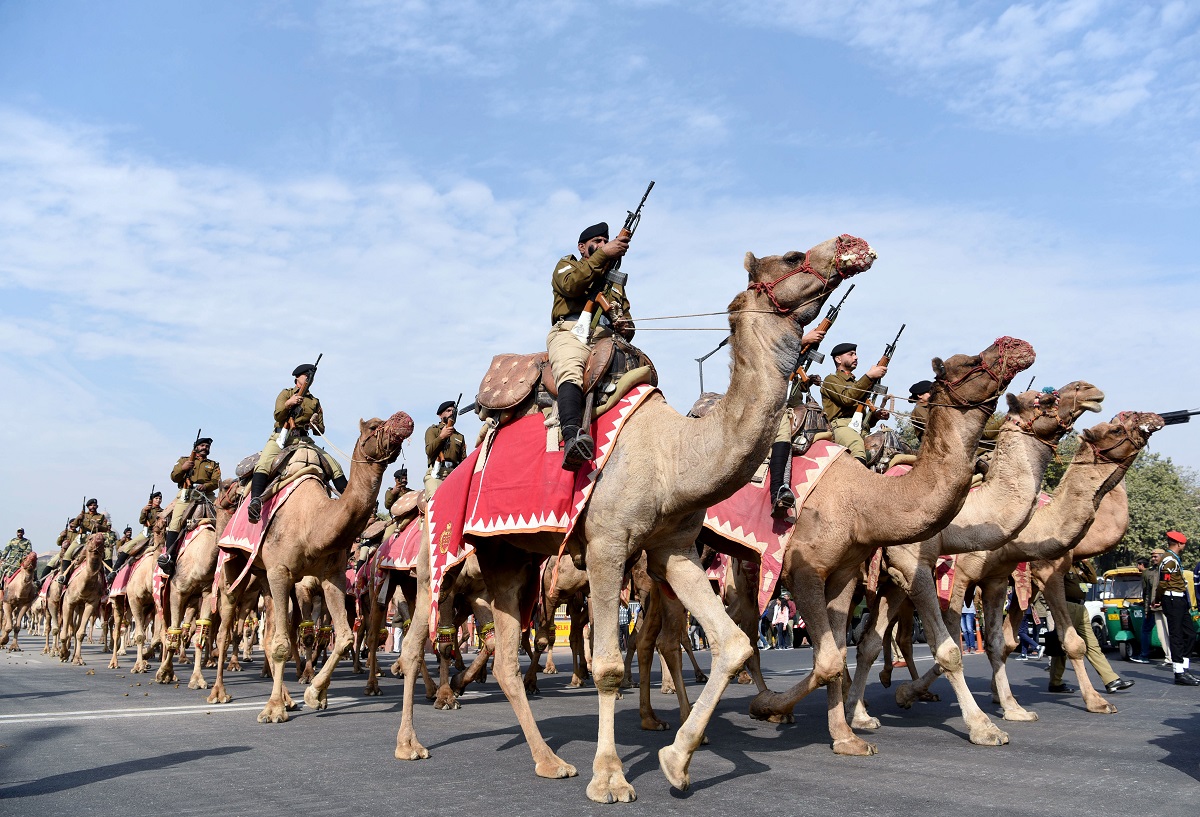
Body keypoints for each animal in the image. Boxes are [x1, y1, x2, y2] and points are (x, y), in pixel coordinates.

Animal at [208, 410, 415, 715]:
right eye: (374, 426)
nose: (405, 418)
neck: (313, 524)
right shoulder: (284, 573)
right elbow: (284, 643)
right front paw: (273, 710)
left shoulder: (331, 578)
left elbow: (342, 636)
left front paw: (314, 694)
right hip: (235, 562)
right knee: (227, 624)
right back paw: (218, 691)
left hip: (264, 576)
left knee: (270, 631)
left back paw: (288, 697)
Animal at [398, 232, 878, 801]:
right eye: (792, 256)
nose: (854, 245)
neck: (673, 455)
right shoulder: (607, 542)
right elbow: (607, 663)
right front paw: (610, 778)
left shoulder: (672, 548)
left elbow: (733, 642)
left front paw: (677, 759)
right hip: (440, 553)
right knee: (417, 640)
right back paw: (410, 742)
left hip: (508, 558)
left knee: (508, 657)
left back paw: (549, 761)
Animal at [739, 333, 1032, 753]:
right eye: (972, 361)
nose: (1017, 344)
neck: (866, 497)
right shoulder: (808, 569)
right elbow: (938, 648)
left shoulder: (847, 573)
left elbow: (842, 652)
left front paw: (847, 733)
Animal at [840, 381, 1099, 739]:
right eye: (1046, 399)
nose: (1090, 391)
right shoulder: (934, 570)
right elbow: (953, 647)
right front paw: (982, 726)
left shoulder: (984, 578)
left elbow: (995, 642)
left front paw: (1013, 708)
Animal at [907, 415, 1161, 719]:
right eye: (1116, 428)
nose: (1154, 419)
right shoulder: (1025, 574)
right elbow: (1072, 642)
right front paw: (1096, 701)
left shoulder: (1017, 581)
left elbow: (1007, 641)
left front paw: (1001, 697)